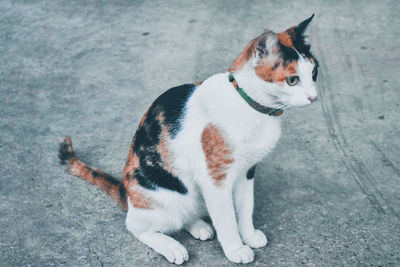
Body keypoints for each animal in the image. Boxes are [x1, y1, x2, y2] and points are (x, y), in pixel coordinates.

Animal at [57, 15, 318, 266]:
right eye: (292, 80)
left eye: (314, 72)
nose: (314, 97)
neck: (251, 106)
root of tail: (127, 195)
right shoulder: (215, 178)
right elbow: (227, 218)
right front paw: (236, 249)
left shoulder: (247, 171)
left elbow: (245, 207)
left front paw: (250, 236)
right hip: (165, 197)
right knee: (136, 226)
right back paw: (172, 246)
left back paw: (199, 226)